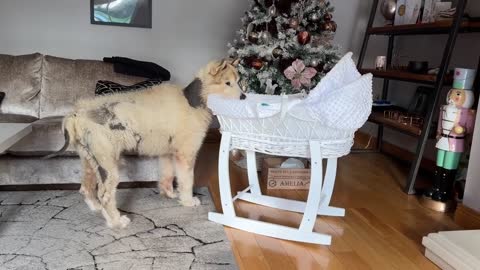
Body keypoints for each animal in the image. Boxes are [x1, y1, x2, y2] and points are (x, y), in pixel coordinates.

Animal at [47, 59, 244, 228]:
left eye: (239, 81)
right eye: (227, 83)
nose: (244, 97)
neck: (194, 102)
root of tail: (76, 114)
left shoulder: (167, 152)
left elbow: (167, 175)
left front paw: (170, 194)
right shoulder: (186, 153)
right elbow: (187, 179)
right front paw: (188, 201)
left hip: (90, 160)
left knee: (86, 188)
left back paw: (96, 209)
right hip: (107, 164)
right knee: (105, 195)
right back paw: (116, 222)